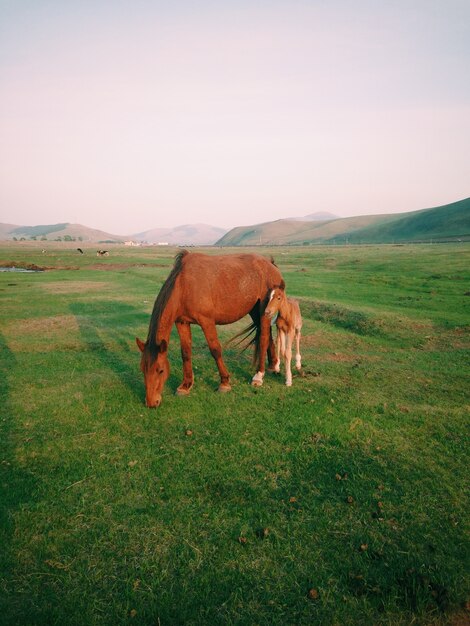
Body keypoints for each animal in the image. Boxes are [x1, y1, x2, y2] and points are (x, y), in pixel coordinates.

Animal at [134, 249, 284, 404]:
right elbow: (185, 352)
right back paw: (273, 366)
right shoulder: (182, 322)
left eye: (160, 370)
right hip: (254, 311)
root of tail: (271, 265)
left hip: (264, 311)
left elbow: (215, 350)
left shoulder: (207, 322)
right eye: (142, 369)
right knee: (268, 337)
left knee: (264, 338)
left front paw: (224, 383)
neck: (184, 285)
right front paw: (186, 385)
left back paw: (259, 376)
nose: (151, 402)